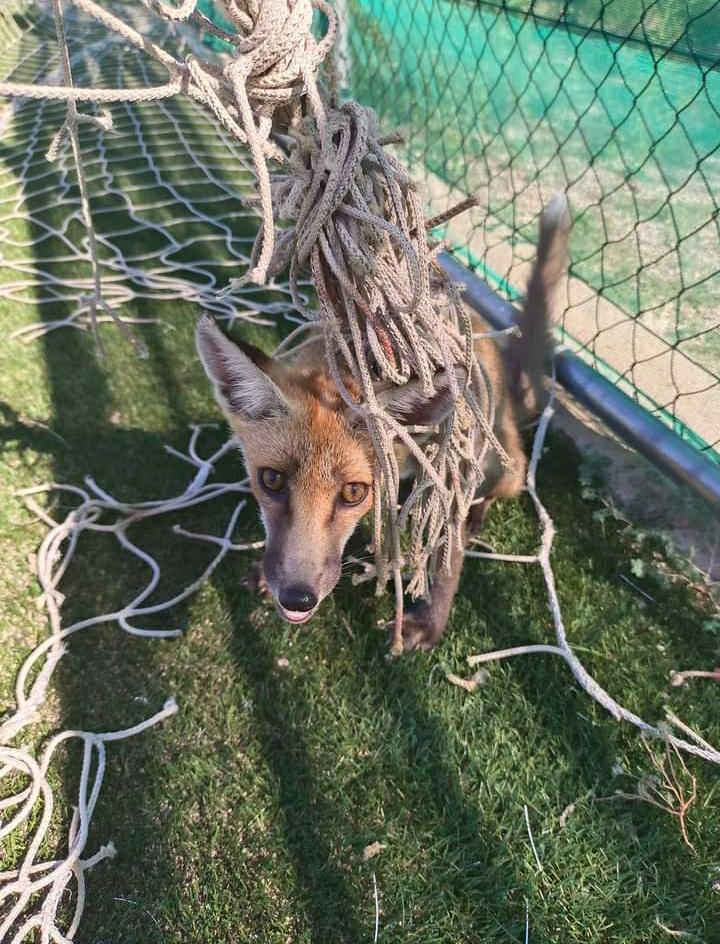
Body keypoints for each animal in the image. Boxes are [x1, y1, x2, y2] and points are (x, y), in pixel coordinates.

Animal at [196, 195, 569, 651]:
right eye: (271, 480)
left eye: (353, 492)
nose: (297, 598)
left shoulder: (448, 474)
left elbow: (448, 561)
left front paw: (430, 622)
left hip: (500, 463)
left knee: (495, 490)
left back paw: (477, 515)